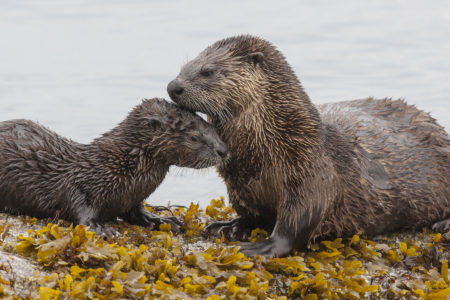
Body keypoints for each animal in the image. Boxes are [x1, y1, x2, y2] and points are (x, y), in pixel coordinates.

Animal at [0, 98, 229, 237]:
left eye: (211, 126)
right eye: (194, 137)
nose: (223, 150)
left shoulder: (131, 198)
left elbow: (137, 212)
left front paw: (162, 219)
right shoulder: (80, 185)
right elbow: (79, 207)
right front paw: (101, 228)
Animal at [168, 34, 450, 255]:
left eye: (208, 71)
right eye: (184, 66)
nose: (173, 86)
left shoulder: (312, 170)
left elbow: (299, 219)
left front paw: (264, 246)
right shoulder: (239, 184)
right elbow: (251, 214)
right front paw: (230, 226)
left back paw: (443, 226)